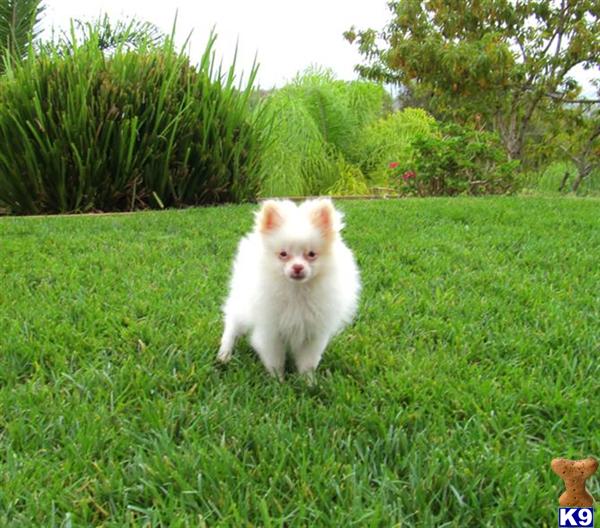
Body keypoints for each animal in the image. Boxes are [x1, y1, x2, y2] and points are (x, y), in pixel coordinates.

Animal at [218, 198, 358, 380]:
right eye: (283, 254)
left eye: (311, 254)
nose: (297, 267)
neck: (297, 290)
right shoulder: (270, 331)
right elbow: (275, 360)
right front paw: (279, 381)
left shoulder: (313, 334)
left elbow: (308, 362)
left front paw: (308, 382)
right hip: (241, 305)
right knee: (232, 325)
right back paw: (224, 354)